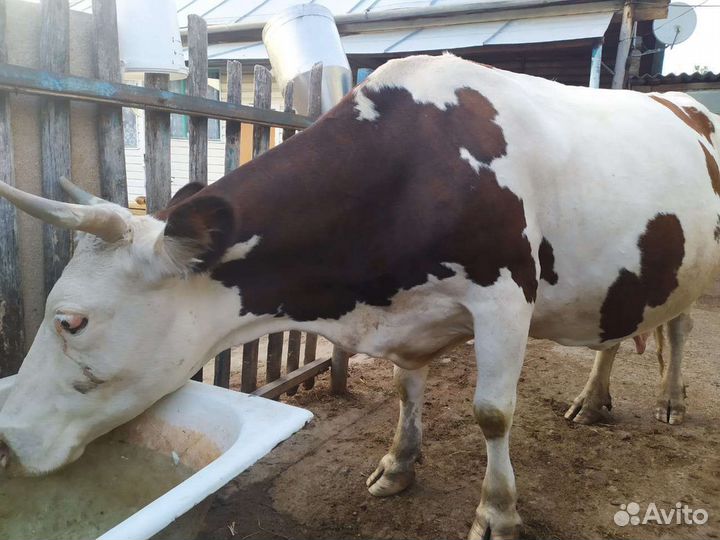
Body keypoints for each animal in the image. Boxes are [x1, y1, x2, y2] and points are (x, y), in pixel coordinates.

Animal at [0, 54, 718, 540]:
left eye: (71, 321)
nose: (7, 436)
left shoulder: (505, 296)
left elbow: (492, 414)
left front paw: (498, 511)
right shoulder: (412, 311)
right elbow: (404, 388)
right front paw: (398, 465)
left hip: (700, 267)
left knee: (681, 330)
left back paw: (671, 401)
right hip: (627, 277)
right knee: (617, 333)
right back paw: (593, 401)